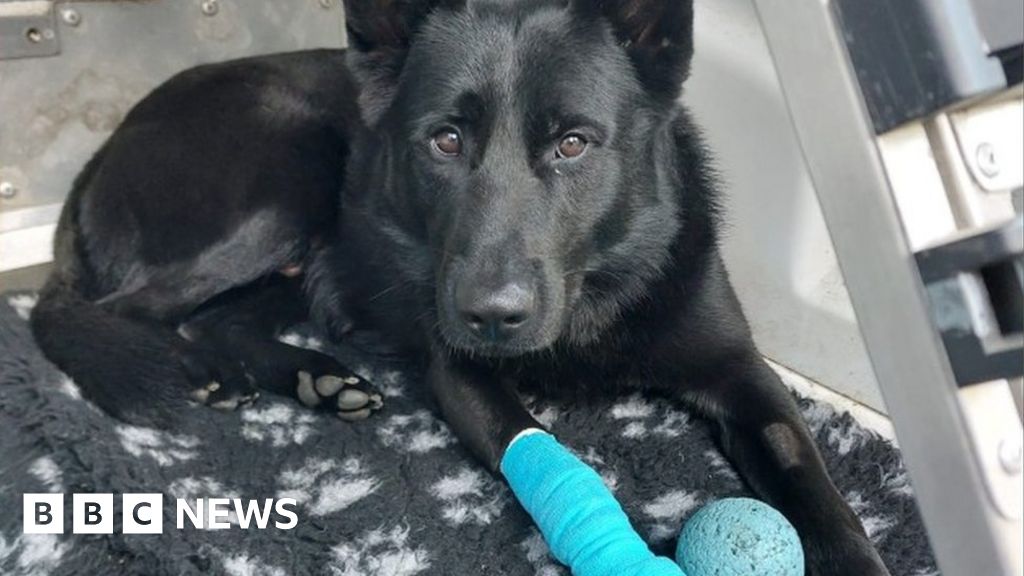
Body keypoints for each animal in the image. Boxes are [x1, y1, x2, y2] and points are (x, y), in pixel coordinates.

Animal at [32, 1, 892, 569]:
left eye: (573, 144)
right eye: (444, 140)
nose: (490, 315)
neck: (592, 299)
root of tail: (104, 147)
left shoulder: (740, 371)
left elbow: (806, 468)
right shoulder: (461, 373)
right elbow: (551, 455)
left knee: (218, 318)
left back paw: (315, 379)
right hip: (287, 173)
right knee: (114, 310)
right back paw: (202, 375)